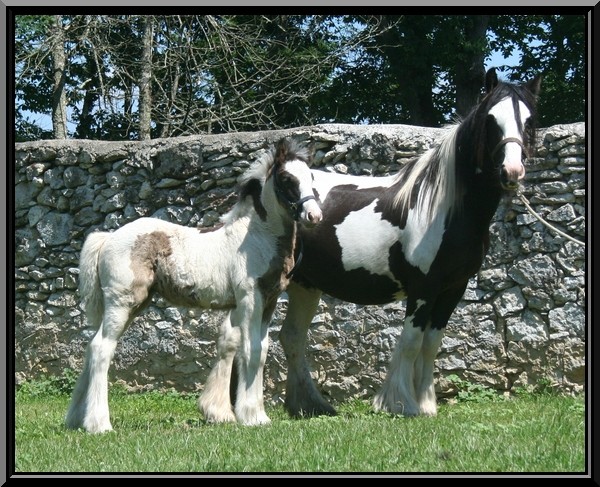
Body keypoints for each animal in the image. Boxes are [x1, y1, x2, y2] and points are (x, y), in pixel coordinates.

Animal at [64, 138, 324, 434]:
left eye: (311, 177)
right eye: (287, 179)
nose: (314, 215)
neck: (257, 237)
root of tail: (107, 237)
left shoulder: (268, 301)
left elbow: (263, 350)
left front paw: (256, 414)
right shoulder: (250, 298)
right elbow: (251, 351)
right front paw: (252, 416)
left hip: (132, 305)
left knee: (90, 346)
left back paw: (77, 419)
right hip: (122, 302)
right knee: (101, 348)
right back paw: (99, 424)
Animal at [278, 68, 540, 420]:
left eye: (528, 120)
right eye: (491, 119)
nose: (512, 172)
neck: (445, 208)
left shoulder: (452, 288)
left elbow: (431, 344)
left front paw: (427, 402)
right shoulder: (423, 289)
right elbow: (411, 342)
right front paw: (403, 403)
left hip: (305, 285)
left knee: (292, 338)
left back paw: (308, 405)